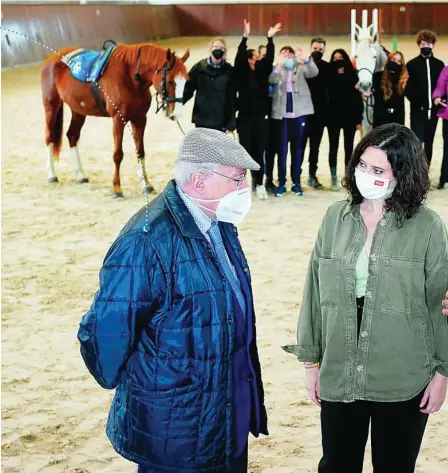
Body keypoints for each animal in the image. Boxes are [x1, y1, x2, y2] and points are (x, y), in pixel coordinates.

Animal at [40, 43, 189, 197]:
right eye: (170, 81)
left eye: (186, 81)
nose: (176, 114)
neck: (130, 77)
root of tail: (51, 58)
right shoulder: (118, 120)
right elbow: (118, 154)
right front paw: (117, 189)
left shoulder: (140, 118)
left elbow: (140, 151)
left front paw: (146, 184)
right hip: (51, 106)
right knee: (49, 137)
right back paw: (52, 175)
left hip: (78, 111)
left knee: (72, 135)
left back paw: (81, 175)